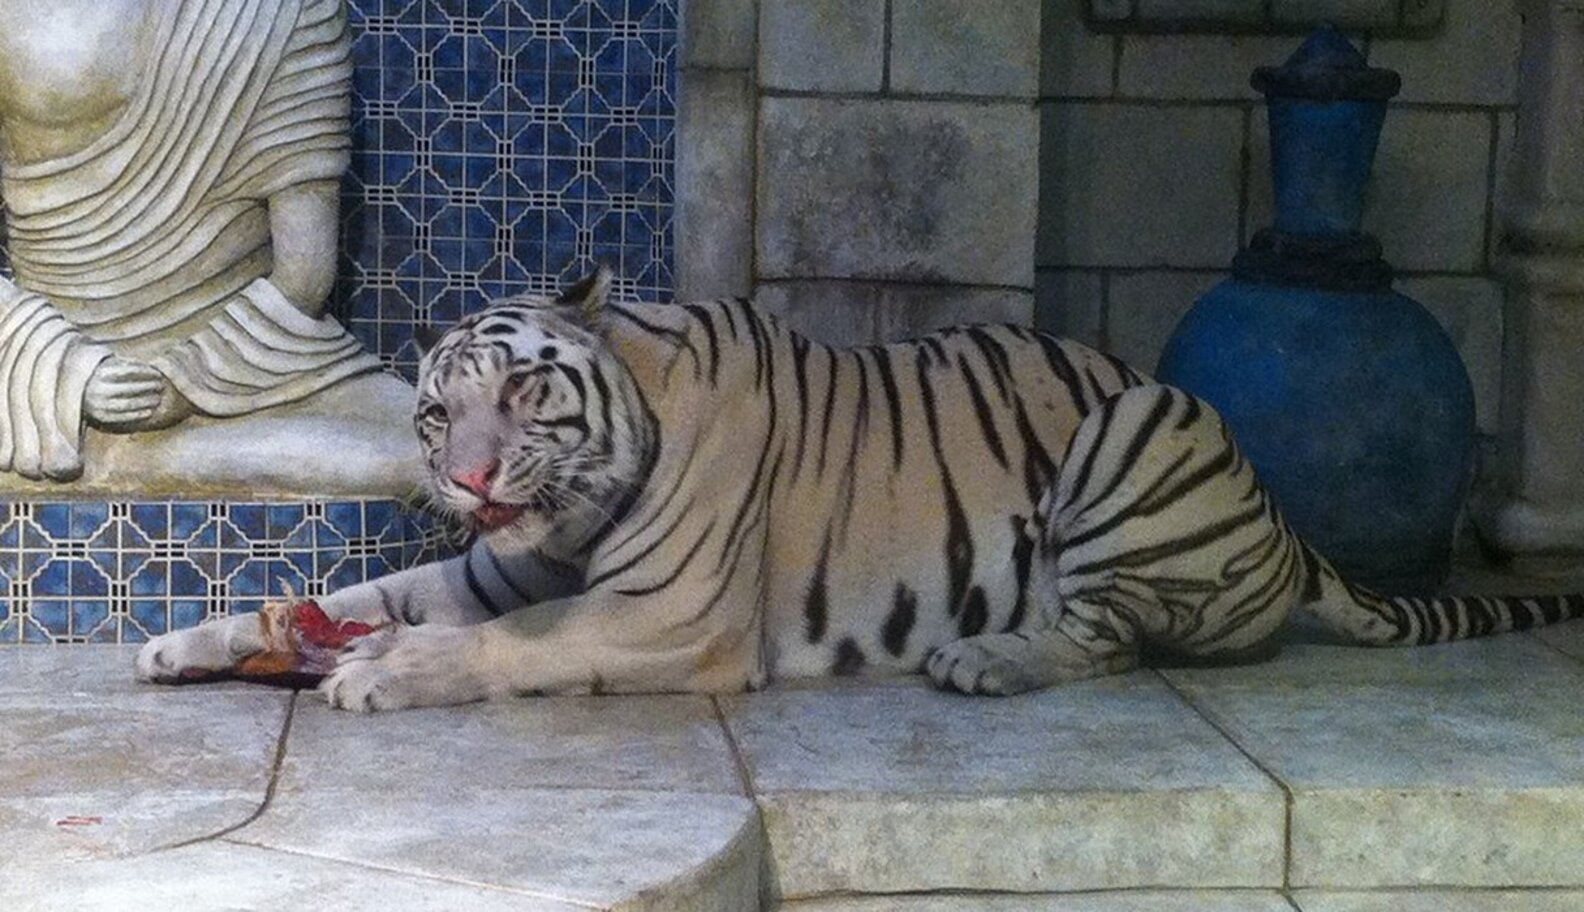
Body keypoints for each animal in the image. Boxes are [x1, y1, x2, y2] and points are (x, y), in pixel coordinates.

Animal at [134, 267, 1584, 710]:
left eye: (527, 395)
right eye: (437, 412)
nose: (471, 474)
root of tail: (1285, 522)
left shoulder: (663, 619)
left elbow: (506, 643)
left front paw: (387, 672)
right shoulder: (501, 561)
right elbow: (369, 593)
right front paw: (191, 641)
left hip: (1140, 421)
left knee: (1117, 638)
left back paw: (989, 660)